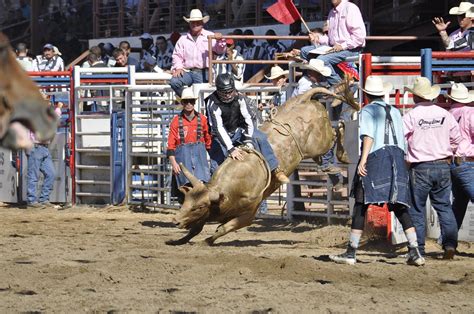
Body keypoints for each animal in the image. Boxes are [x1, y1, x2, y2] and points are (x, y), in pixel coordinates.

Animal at [167, 82, 360, 247]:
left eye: (198, 207)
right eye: (186, 201)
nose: (175, 220)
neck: (228, 190)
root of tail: (303, 98)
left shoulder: (249, 214)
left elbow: (223, 228)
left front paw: (207, 240)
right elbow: (196, 227)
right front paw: (178, 240)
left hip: (320, 142)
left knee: (336, 132)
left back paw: (342, 152)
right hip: (314, 149)